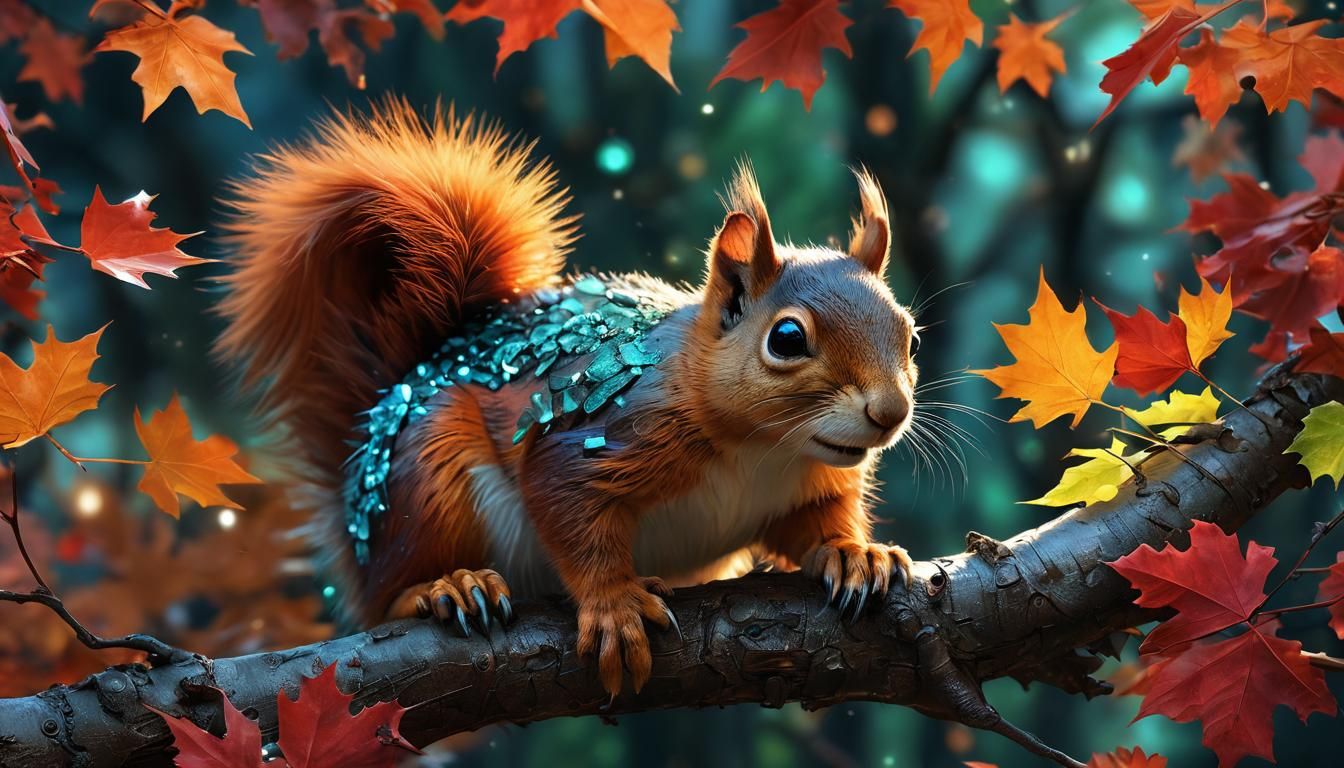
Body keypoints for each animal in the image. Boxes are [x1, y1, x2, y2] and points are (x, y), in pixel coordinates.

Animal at [216, 100, 919, 698]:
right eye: (787, 338)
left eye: (910, 333)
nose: (889, 413)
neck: (760, 450)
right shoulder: (604, 439)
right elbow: (572, 516)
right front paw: (613, 608)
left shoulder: (809, 485)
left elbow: (816, 523)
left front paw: (854, 553)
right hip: (427, 482)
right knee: (386, 593)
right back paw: (449, 585)